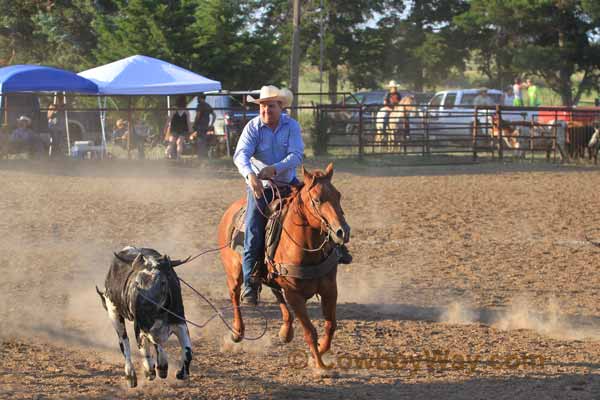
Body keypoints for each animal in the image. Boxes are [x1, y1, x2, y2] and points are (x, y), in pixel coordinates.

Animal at [97, 247, 192, 388]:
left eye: (163, 282)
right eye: (137, 282)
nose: (145, 304)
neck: (157, 313)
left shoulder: (180, 323)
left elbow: (188, 352)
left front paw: (181, 373)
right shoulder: (140, 328)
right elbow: (145, 351)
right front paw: (149, 371)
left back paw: (162, 367)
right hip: (114, 313)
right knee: (124, 342)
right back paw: (130, 375)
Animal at [219, 164, 352, 370]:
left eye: (338, 195)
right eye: (316, 199)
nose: (342, 232)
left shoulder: (330, 289)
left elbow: (331, 325)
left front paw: (321, 349)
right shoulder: (294, 294)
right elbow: (310, 331)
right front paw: (320, 366)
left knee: (276, 294)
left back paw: (285, 332)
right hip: (234, 273)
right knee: (235, 296)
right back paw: (237, 332)